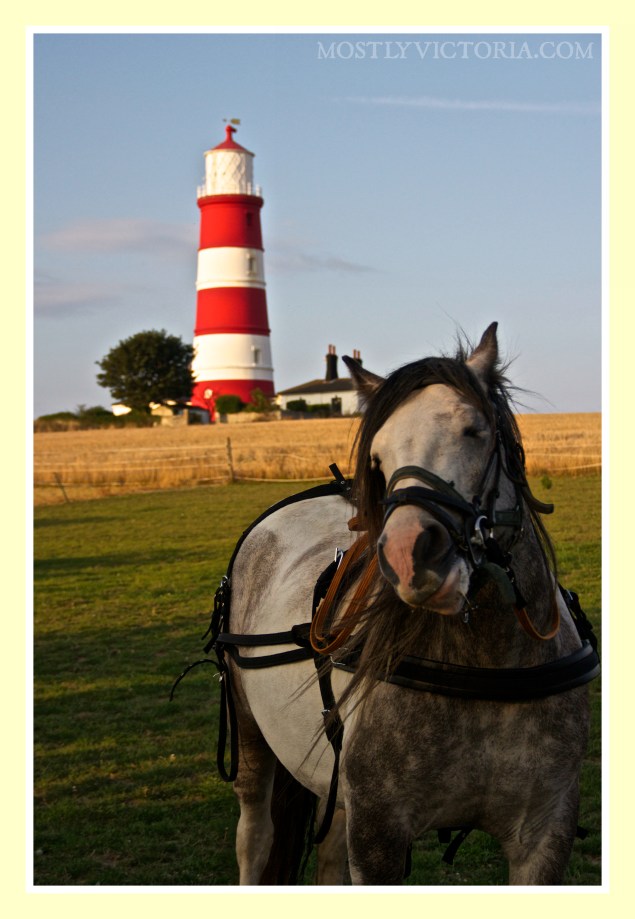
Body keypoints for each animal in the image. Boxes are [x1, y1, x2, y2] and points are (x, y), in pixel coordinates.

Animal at [212, 323, 598, 885]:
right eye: (378, 457)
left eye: (474, 430)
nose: (407, 554)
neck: (485, 665)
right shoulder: (378, 833)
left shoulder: (546, 834)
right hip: (249, 736)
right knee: (255, 840)